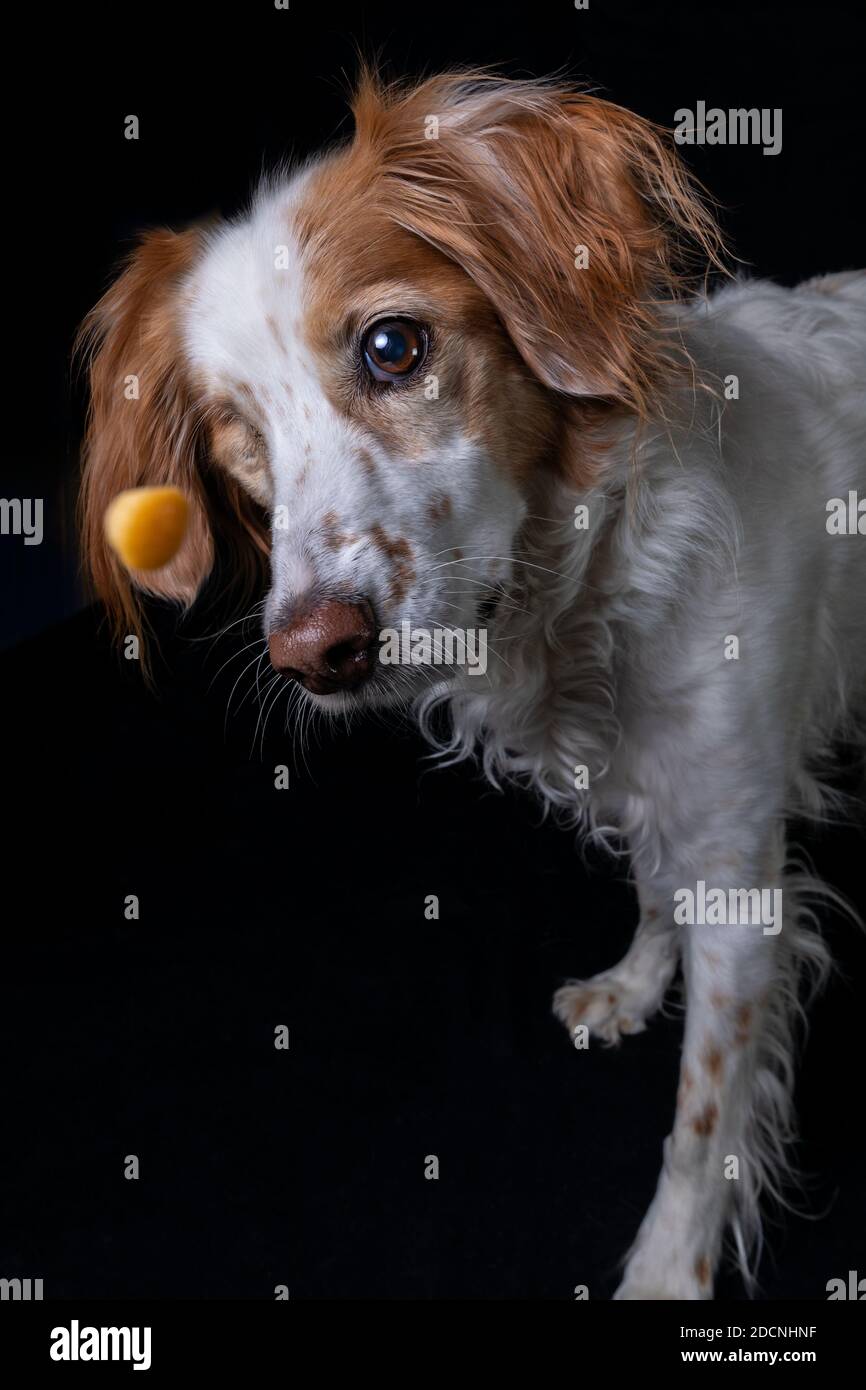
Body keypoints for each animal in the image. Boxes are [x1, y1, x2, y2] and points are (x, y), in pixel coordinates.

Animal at [76, 70, 866, 1295]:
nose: (315, 651)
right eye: (235, 438)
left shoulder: (739, 868)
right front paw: (635, 985)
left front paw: (666, 1272)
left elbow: (700, 1122)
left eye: (394, 346)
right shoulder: (652, 787)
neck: (593, 585)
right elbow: (654, 894)